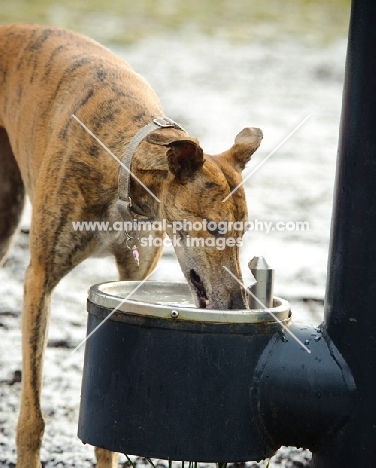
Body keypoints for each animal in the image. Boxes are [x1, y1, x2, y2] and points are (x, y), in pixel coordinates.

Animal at [0, 24, 262, 468]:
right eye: (213, 228)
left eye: (242, 233)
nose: (237, 307)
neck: (123, 162)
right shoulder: (39, 279)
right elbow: (31, 419)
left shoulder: (130, 279)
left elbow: (109, 434)